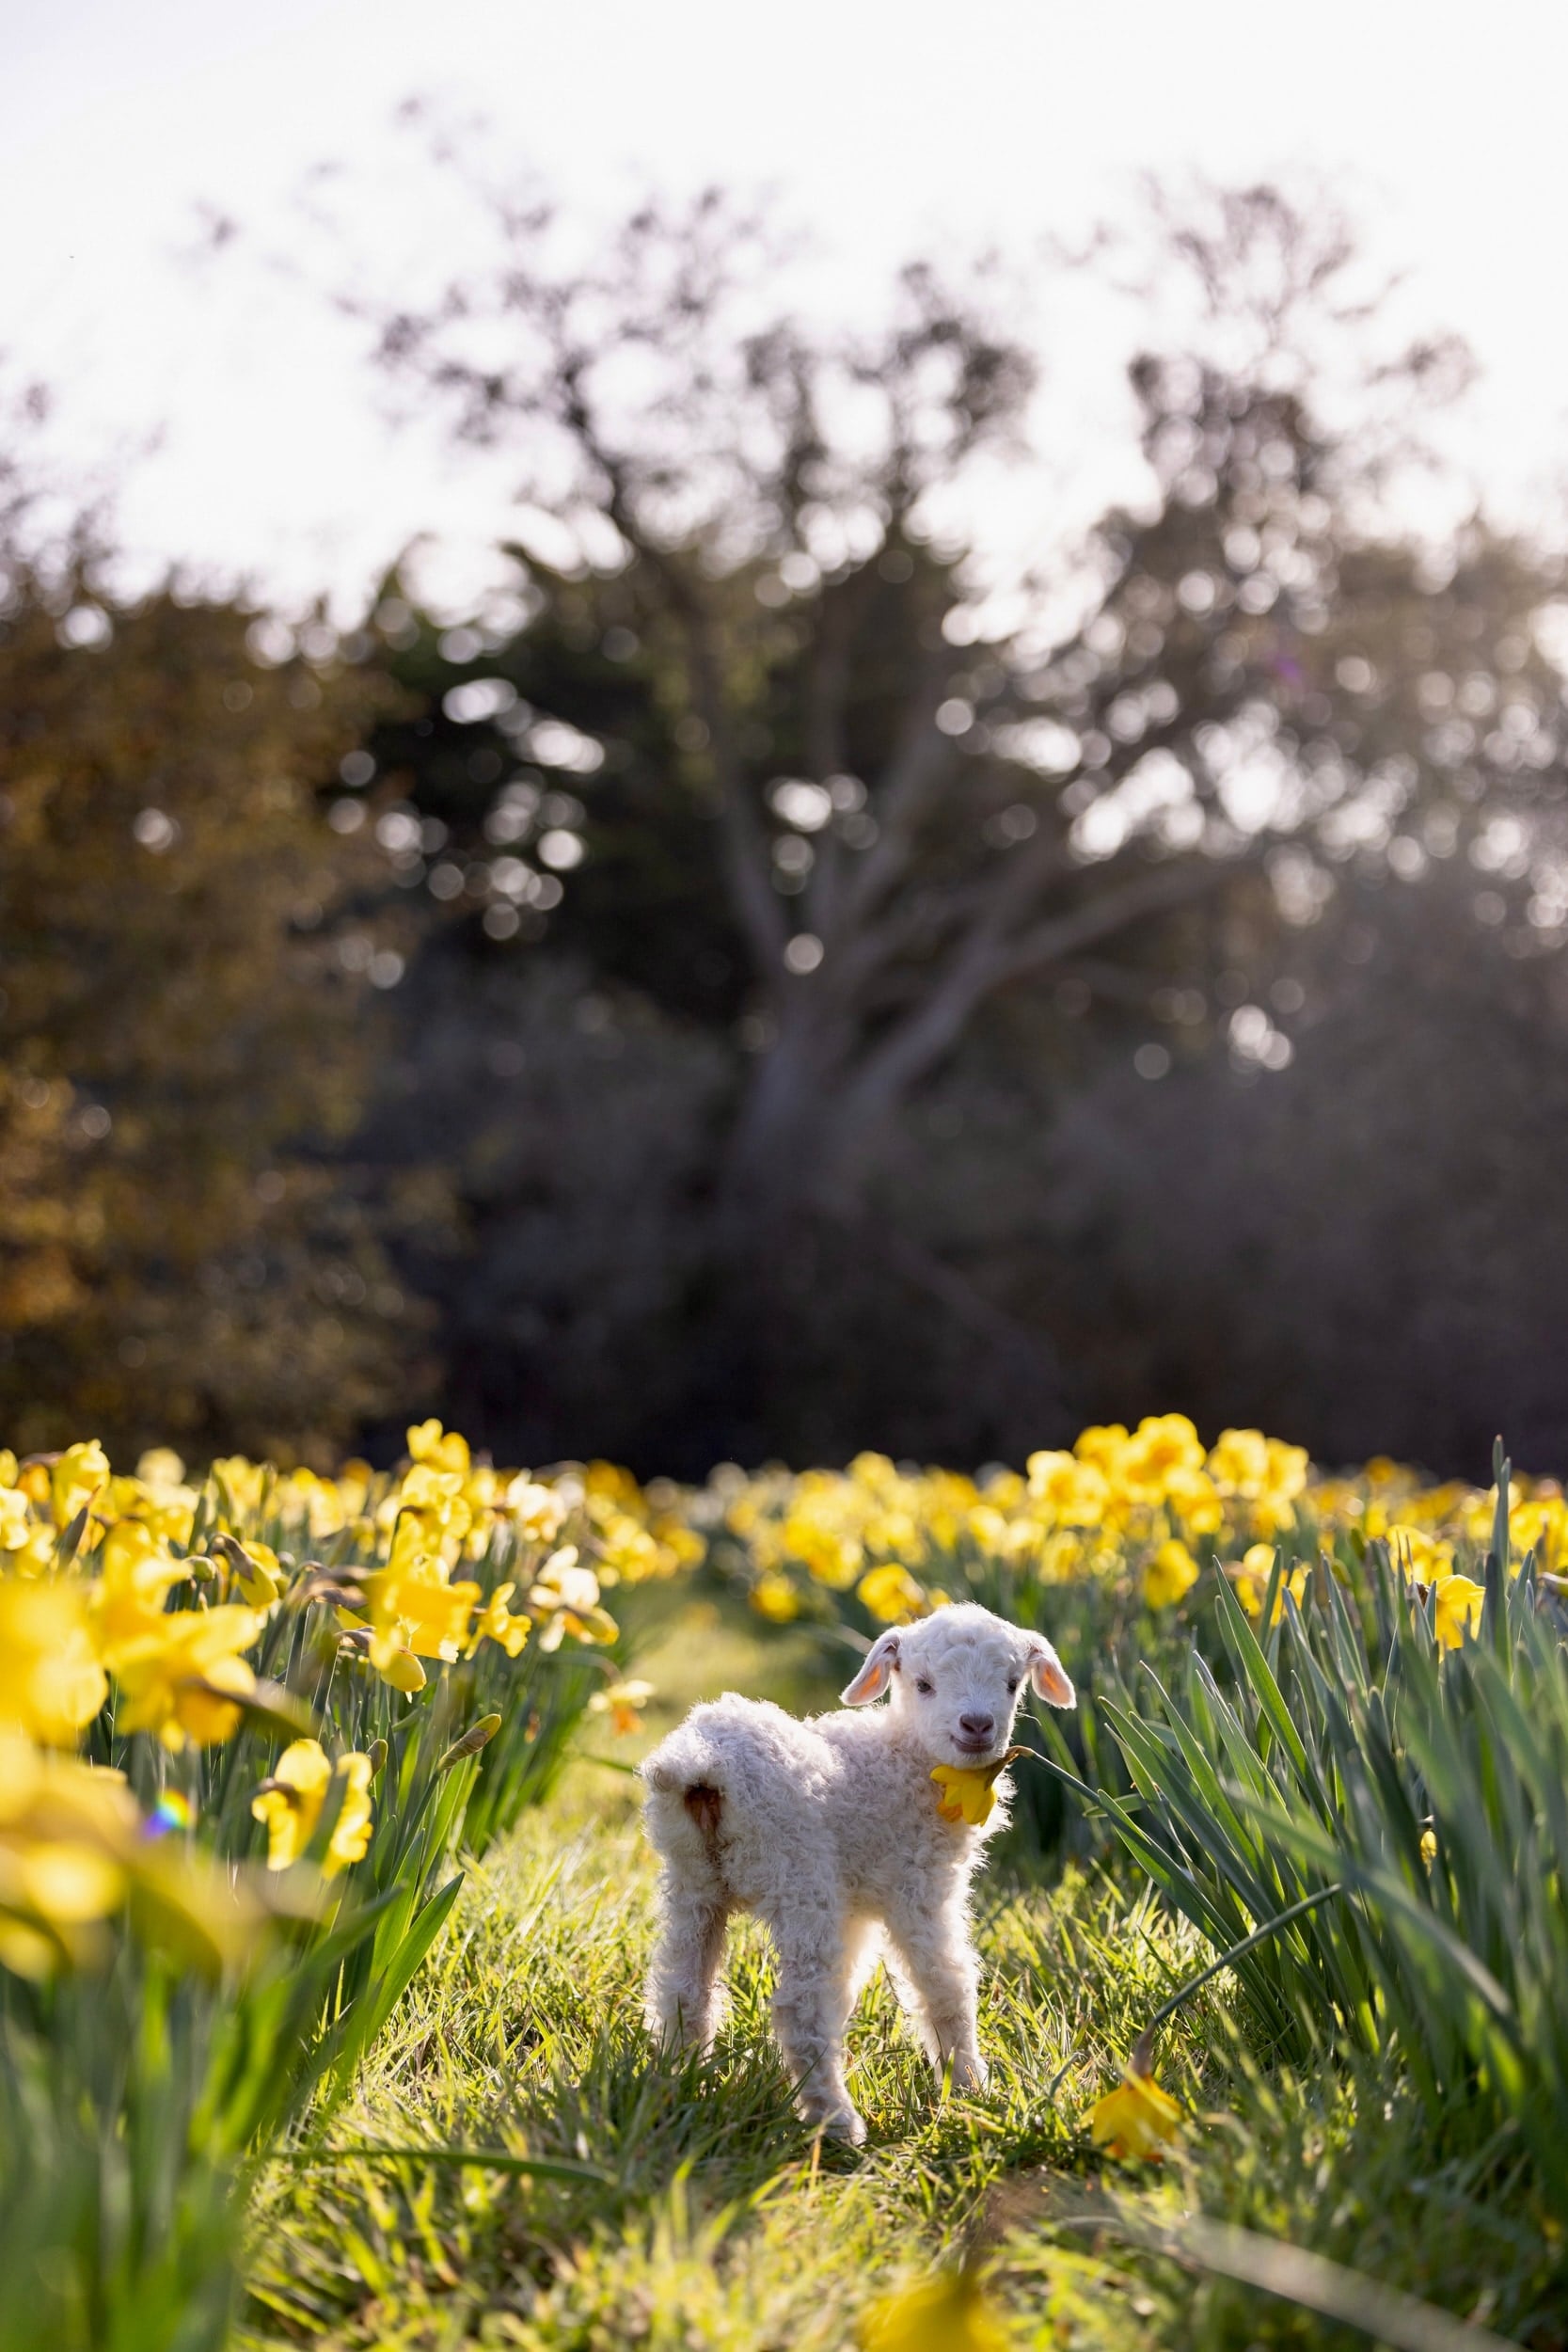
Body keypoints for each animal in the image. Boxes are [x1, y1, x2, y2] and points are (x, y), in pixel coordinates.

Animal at [639, 1601, 1075, 2144]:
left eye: (1014, 1683)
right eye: (923, 1684)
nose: (977, 1725)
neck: (906, 1759)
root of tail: (702, 1765)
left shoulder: (859, 1908)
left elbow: (847, 1986)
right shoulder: (917, 1887)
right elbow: (945, 1985)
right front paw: (972, 2093)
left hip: (691, 1881)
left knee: (681, 1991)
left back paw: (679, 2086)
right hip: (800, 1875)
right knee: (799, 2008)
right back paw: (837, 2122)